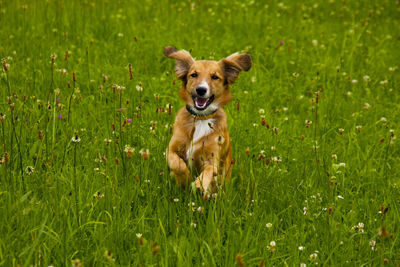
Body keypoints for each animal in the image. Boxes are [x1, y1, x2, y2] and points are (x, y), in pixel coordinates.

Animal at [162, 46, 250, 199]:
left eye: (215, 77)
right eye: (194, 75)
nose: (201, 90)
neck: (201, 118)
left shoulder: (212, 158)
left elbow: (209, 171)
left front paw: (198, 185)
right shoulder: (171, 149)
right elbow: (177, 164)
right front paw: (185, 179)